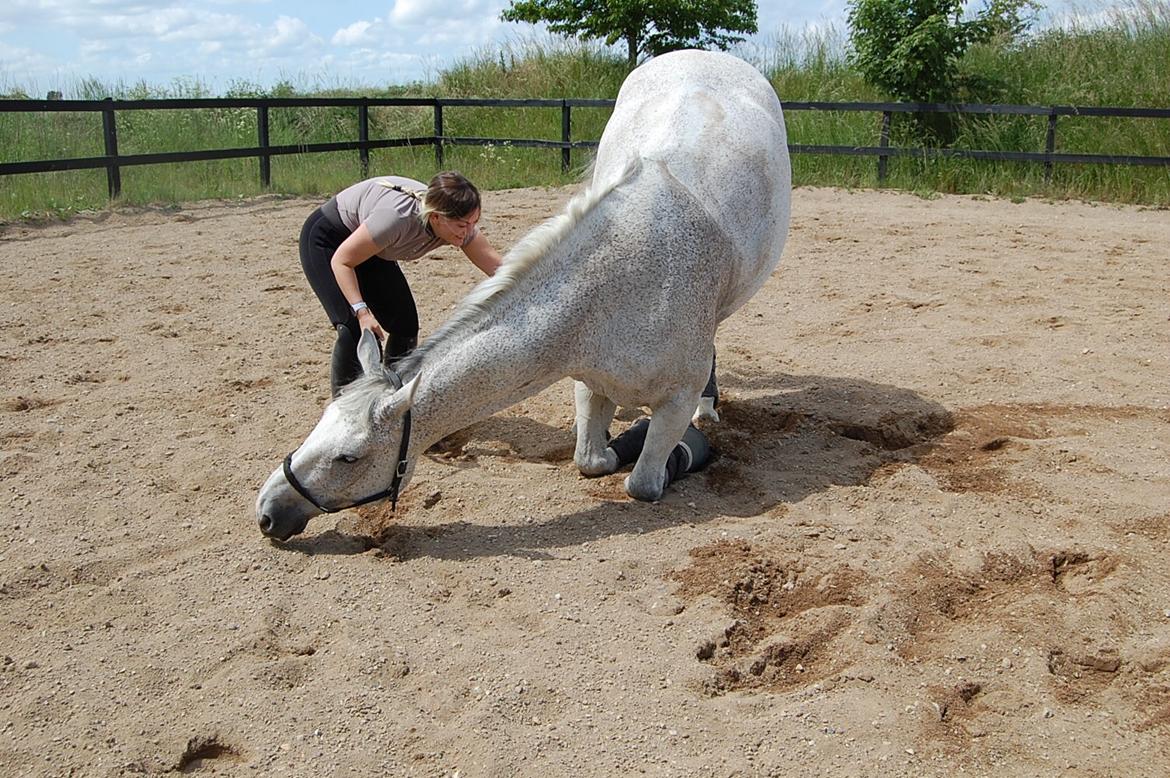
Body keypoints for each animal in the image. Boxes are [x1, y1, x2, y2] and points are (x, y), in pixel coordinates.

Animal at [255, 50, 786, 540]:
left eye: (349, 457)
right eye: (320, 422)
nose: (267, 511)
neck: (617, 289)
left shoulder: (674, 399)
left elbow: (642, 484)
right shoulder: (589, 380)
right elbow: (591, 460)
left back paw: (708, 408)